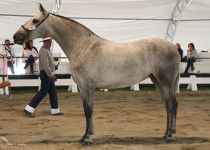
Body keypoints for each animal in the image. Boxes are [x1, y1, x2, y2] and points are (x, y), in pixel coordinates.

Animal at [13, 3, 180, 145]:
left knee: (172, 105)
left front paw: (88, 139)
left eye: (35, 20)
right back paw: (165, 134)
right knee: (167, 105)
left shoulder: (88, 87)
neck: (82, 47)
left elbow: (89, 110)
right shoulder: (82, 88)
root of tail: (173, 47)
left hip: (166, 82)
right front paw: (84, 136)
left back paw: (171, 137)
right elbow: (86, 110)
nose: (15, 36)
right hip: (157, 80)